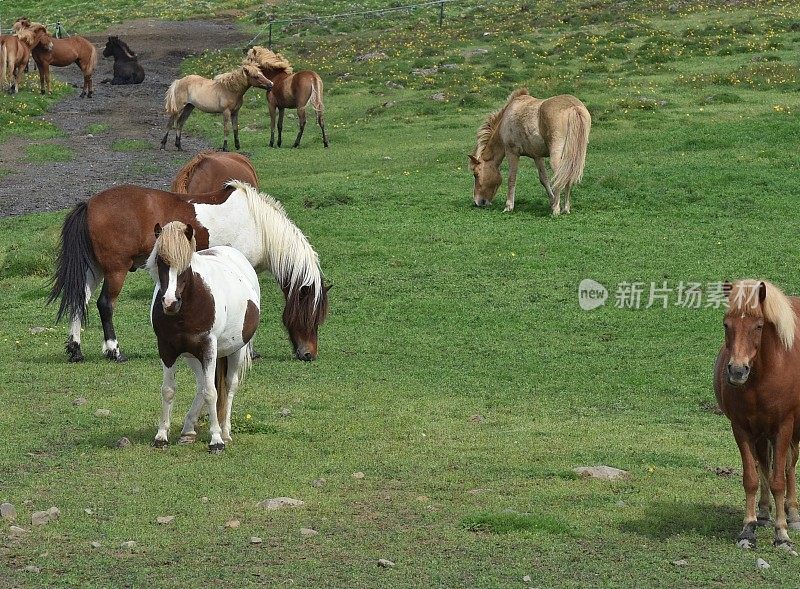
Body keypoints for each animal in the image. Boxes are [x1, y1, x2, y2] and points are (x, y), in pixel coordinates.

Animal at [49, 179, 328, 362]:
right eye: (310, 316)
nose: (309, 354)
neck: (257, 224)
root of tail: (90, 204)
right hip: (116, 270)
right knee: (105, 305)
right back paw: (114, 351)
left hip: (96, 269)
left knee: (80, 301)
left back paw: (76, 350)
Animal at [148, 220, 260, 450]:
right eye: (161, 261)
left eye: (186, 264)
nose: (170, 302)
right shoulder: (167, 348)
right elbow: (169, 390)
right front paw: (161, 436)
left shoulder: (208, 346)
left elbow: (212, 392)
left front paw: (216, 440)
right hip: (193, 355)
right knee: (201, 385)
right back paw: (188, 430)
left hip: (235, 350)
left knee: (229, 385)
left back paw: (225, 432)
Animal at [468, 87, 588, 216]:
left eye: (476, 174)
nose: (478, 202)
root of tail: (573, 107)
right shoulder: (537, 156)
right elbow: (544, 179)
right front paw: (551, 202)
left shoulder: (512, 153)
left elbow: (511, 178)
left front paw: (508, 206)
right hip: (571, 157)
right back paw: (565, 208)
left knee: (559, 178)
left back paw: (556, 210)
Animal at [712, 280, 800, 552]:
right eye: (726, 324)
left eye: (759, 326)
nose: (737, 371)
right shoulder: (741, 428)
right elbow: (752, 477)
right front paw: (748, 528)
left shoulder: (783, 428)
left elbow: (779, 480)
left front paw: (782, 534)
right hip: (761, 434)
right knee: (764, 466)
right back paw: (762, 513)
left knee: (789, 467)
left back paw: (793, 514)